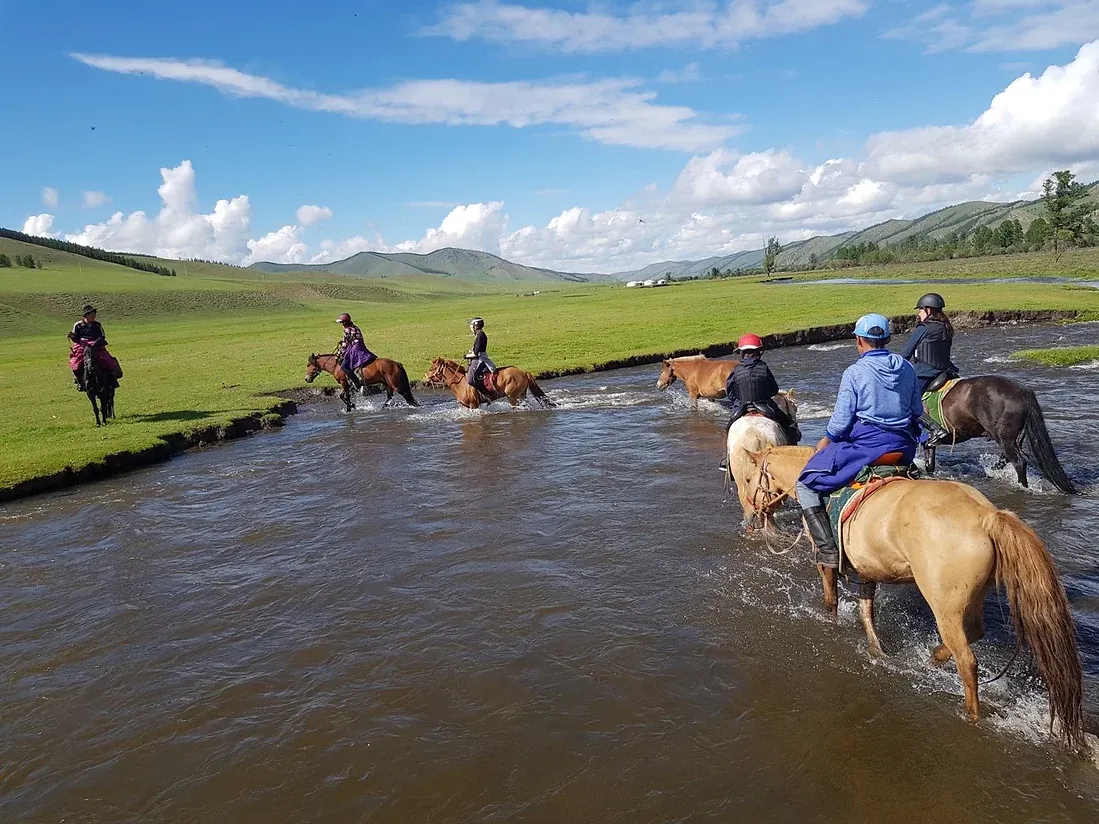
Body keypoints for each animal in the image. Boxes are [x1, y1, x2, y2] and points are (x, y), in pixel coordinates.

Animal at [424, 357, 556, 409]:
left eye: (431, 369)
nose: (424, 381)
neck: (460, 383)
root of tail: (523, 372)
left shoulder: (474, 405)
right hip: (521, 395)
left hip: (512, 397)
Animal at [737, 444, 1086, 752]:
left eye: (751, 479)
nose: (752, 515)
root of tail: (986, 516)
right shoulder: (866, 568)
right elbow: (866, 611)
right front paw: (877, 650)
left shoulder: (825, 560)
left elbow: (831, 600)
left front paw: (832, 626)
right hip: (969, 598)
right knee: (974, 631)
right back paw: (933, 658)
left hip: (943, 605)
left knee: (968, 660)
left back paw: (971, 714)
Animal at [924, 376, 1075, 493]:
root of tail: (1022, 391)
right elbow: (929, 461)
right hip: (1010, 439)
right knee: (1005, 459)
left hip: (1004, 439)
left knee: (1019, 462)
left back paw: (1021, 486)